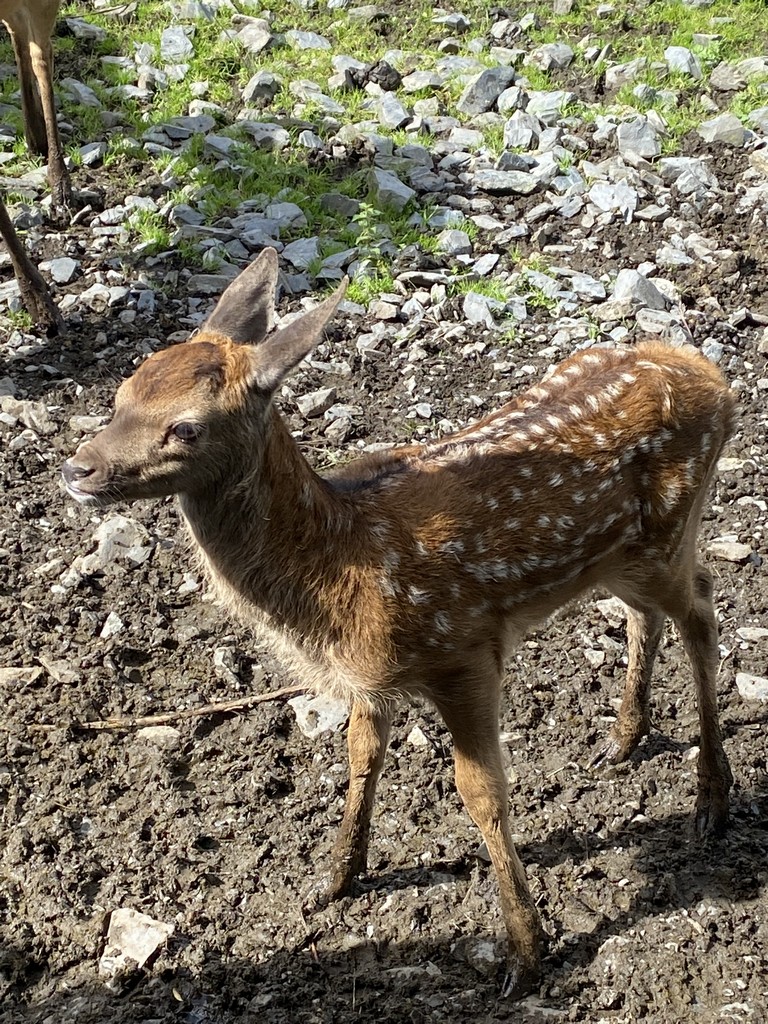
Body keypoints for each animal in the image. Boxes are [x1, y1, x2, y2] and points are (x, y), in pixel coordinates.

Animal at [62, 248, 736, 998]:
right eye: (122, 391)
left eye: (185, 426)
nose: (78, 468)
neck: (341, 567)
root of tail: (718, 382)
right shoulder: (367, 677)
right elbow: (361, 757)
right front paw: (336, 878)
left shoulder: (465, 650)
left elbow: (482, 793)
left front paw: (526, 952)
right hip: (619, 559)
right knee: (646, 616)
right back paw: (622, 740)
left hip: (670, 532)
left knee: (703, 611)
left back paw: (711, 800)